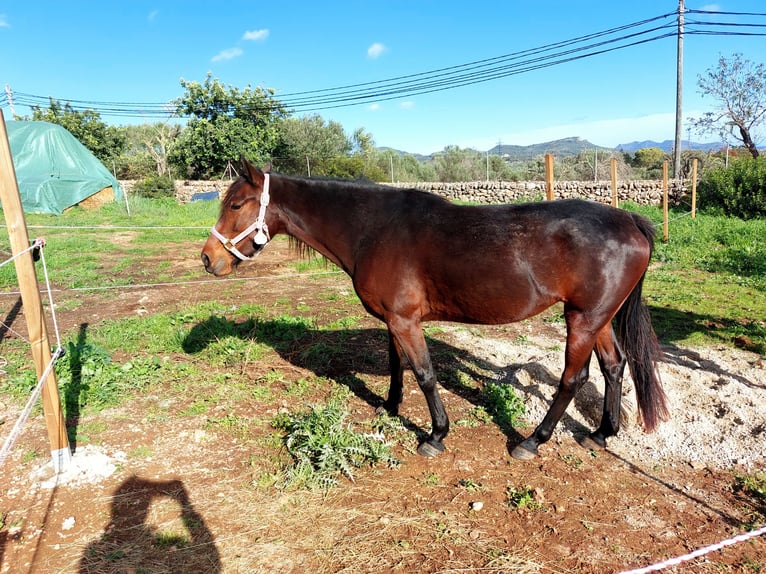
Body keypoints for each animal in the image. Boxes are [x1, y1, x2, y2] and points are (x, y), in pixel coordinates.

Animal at [201, 160, 668, 460]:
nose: (208, 259)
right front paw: (389, 407)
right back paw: (602, 433)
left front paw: (436, 435)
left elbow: (425, 374)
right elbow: (397, 366)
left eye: (237, 205)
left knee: (574, 378)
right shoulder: (394, 320)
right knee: (614, 366)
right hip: (596, 316)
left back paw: (532, 441)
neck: (373, 229)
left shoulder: (405, 321)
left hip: (582, 320)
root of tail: (630, 220)